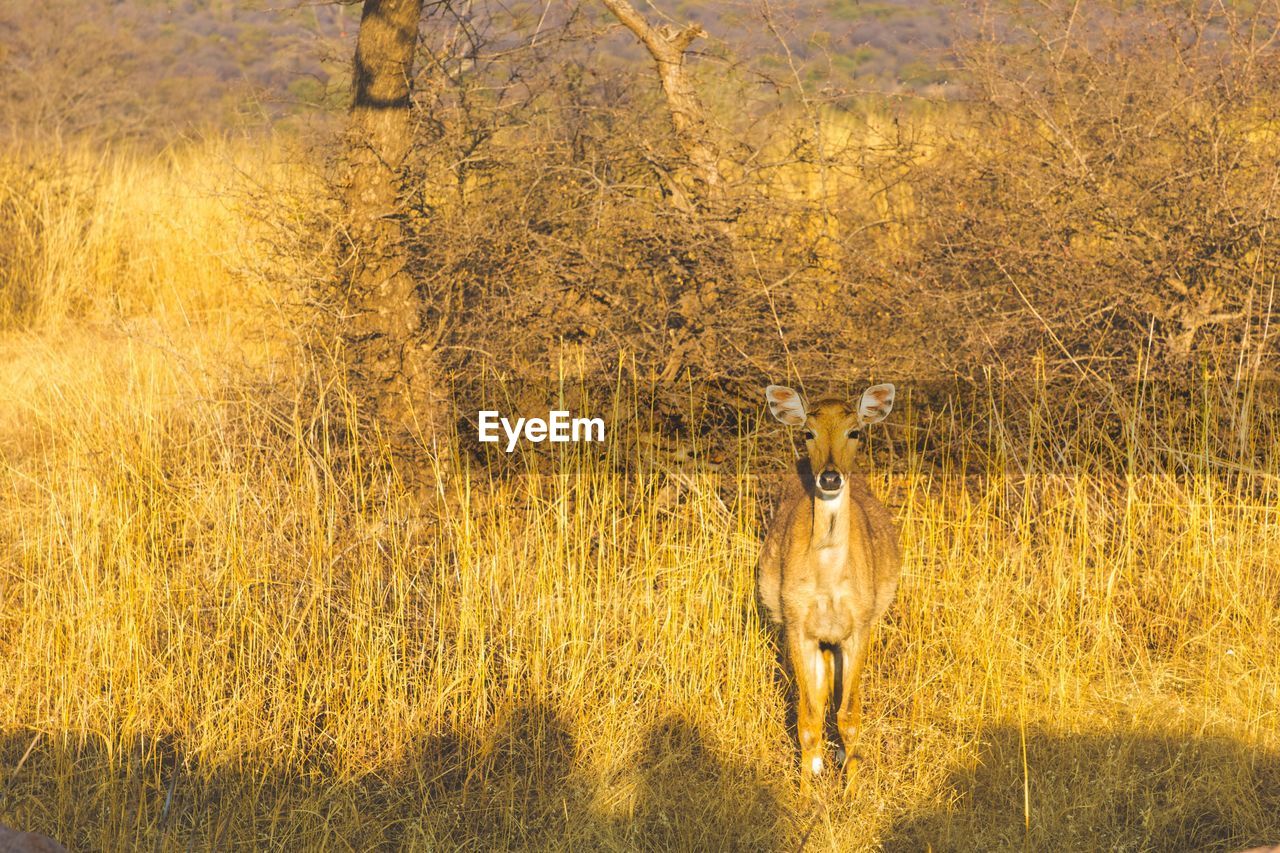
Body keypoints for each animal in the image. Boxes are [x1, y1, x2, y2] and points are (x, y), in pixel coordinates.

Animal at [757, 381, 901, 788]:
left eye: (855, 432)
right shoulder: (796, 625)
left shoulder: (860, 625)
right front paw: (804, 792)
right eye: (808, 432)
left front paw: (852, 791)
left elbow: (850, 717)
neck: (828, 583)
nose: (831, 477)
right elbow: (807, 720)